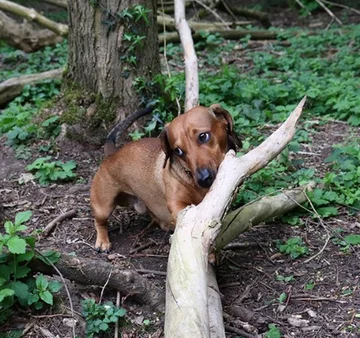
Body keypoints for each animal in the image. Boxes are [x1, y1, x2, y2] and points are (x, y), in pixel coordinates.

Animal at [90, 104, 242, 252]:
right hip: (104, 206)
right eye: (178, 151)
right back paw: (103, 242)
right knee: (99, 222)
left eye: (203, 136)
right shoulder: (177, 205)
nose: (203, 179)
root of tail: (111, 155)